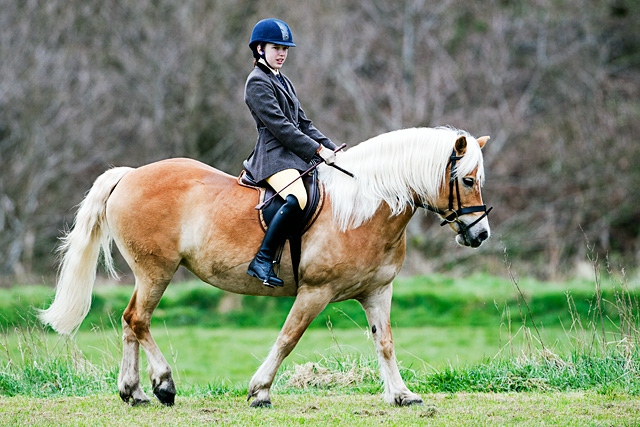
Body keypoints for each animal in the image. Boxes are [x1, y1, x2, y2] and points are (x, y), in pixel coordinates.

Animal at [37, 126, 492, 408]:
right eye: (468, 181)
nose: (480, 234)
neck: (365, 207)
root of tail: (129, 176)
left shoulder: (378, 291)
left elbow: (385, 342)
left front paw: (401, 395)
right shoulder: (315, 292)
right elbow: (288, 339)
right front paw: (260, 391)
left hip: (149, 273)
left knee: (131, 321)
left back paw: (133, 391)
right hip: (157, 271)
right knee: (138, 319)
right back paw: (163, 384)